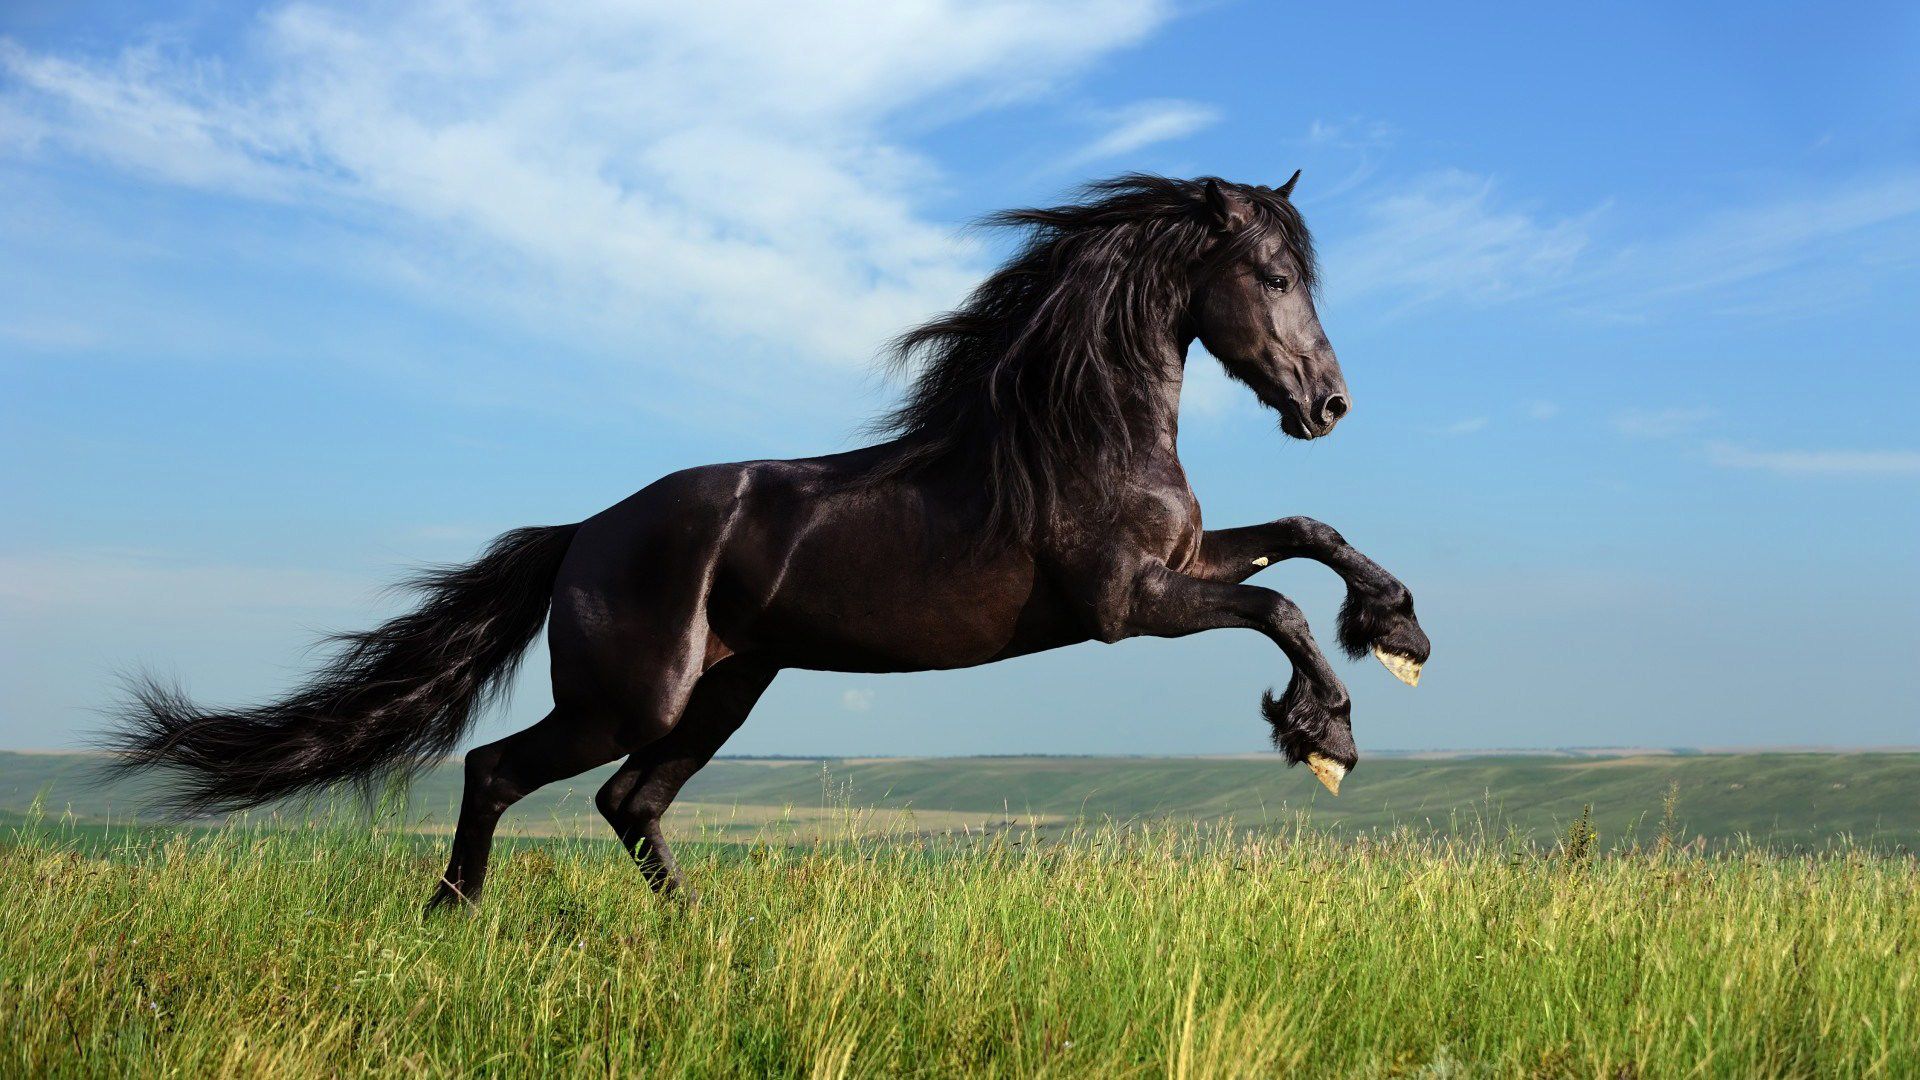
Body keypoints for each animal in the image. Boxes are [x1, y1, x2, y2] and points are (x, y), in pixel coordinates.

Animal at [106, 173, 1432, 909]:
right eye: (1271, 274)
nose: (1328, 405)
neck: (1077, 432)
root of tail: (581, 535)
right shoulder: (1126, 603)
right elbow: (1279, 607)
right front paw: (1325, 735)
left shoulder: (1183, 563)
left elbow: (1306, 534)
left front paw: (1399, 632)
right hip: (631, 696)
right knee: (500, 773)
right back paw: (453, 916)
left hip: (727, 690)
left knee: (630, 803)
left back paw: (695, 933)